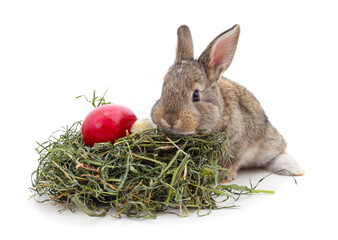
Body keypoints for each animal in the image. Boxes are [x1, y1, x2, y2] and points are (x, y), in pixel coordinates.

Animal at [151, 24, 304, 182]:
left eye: (196, 95)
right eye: (163, 89)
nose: (169, 119)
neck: (220, 113)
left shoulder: (238, 144)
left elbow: (232, 160)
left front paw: (223, 177)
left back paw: (295, 170)